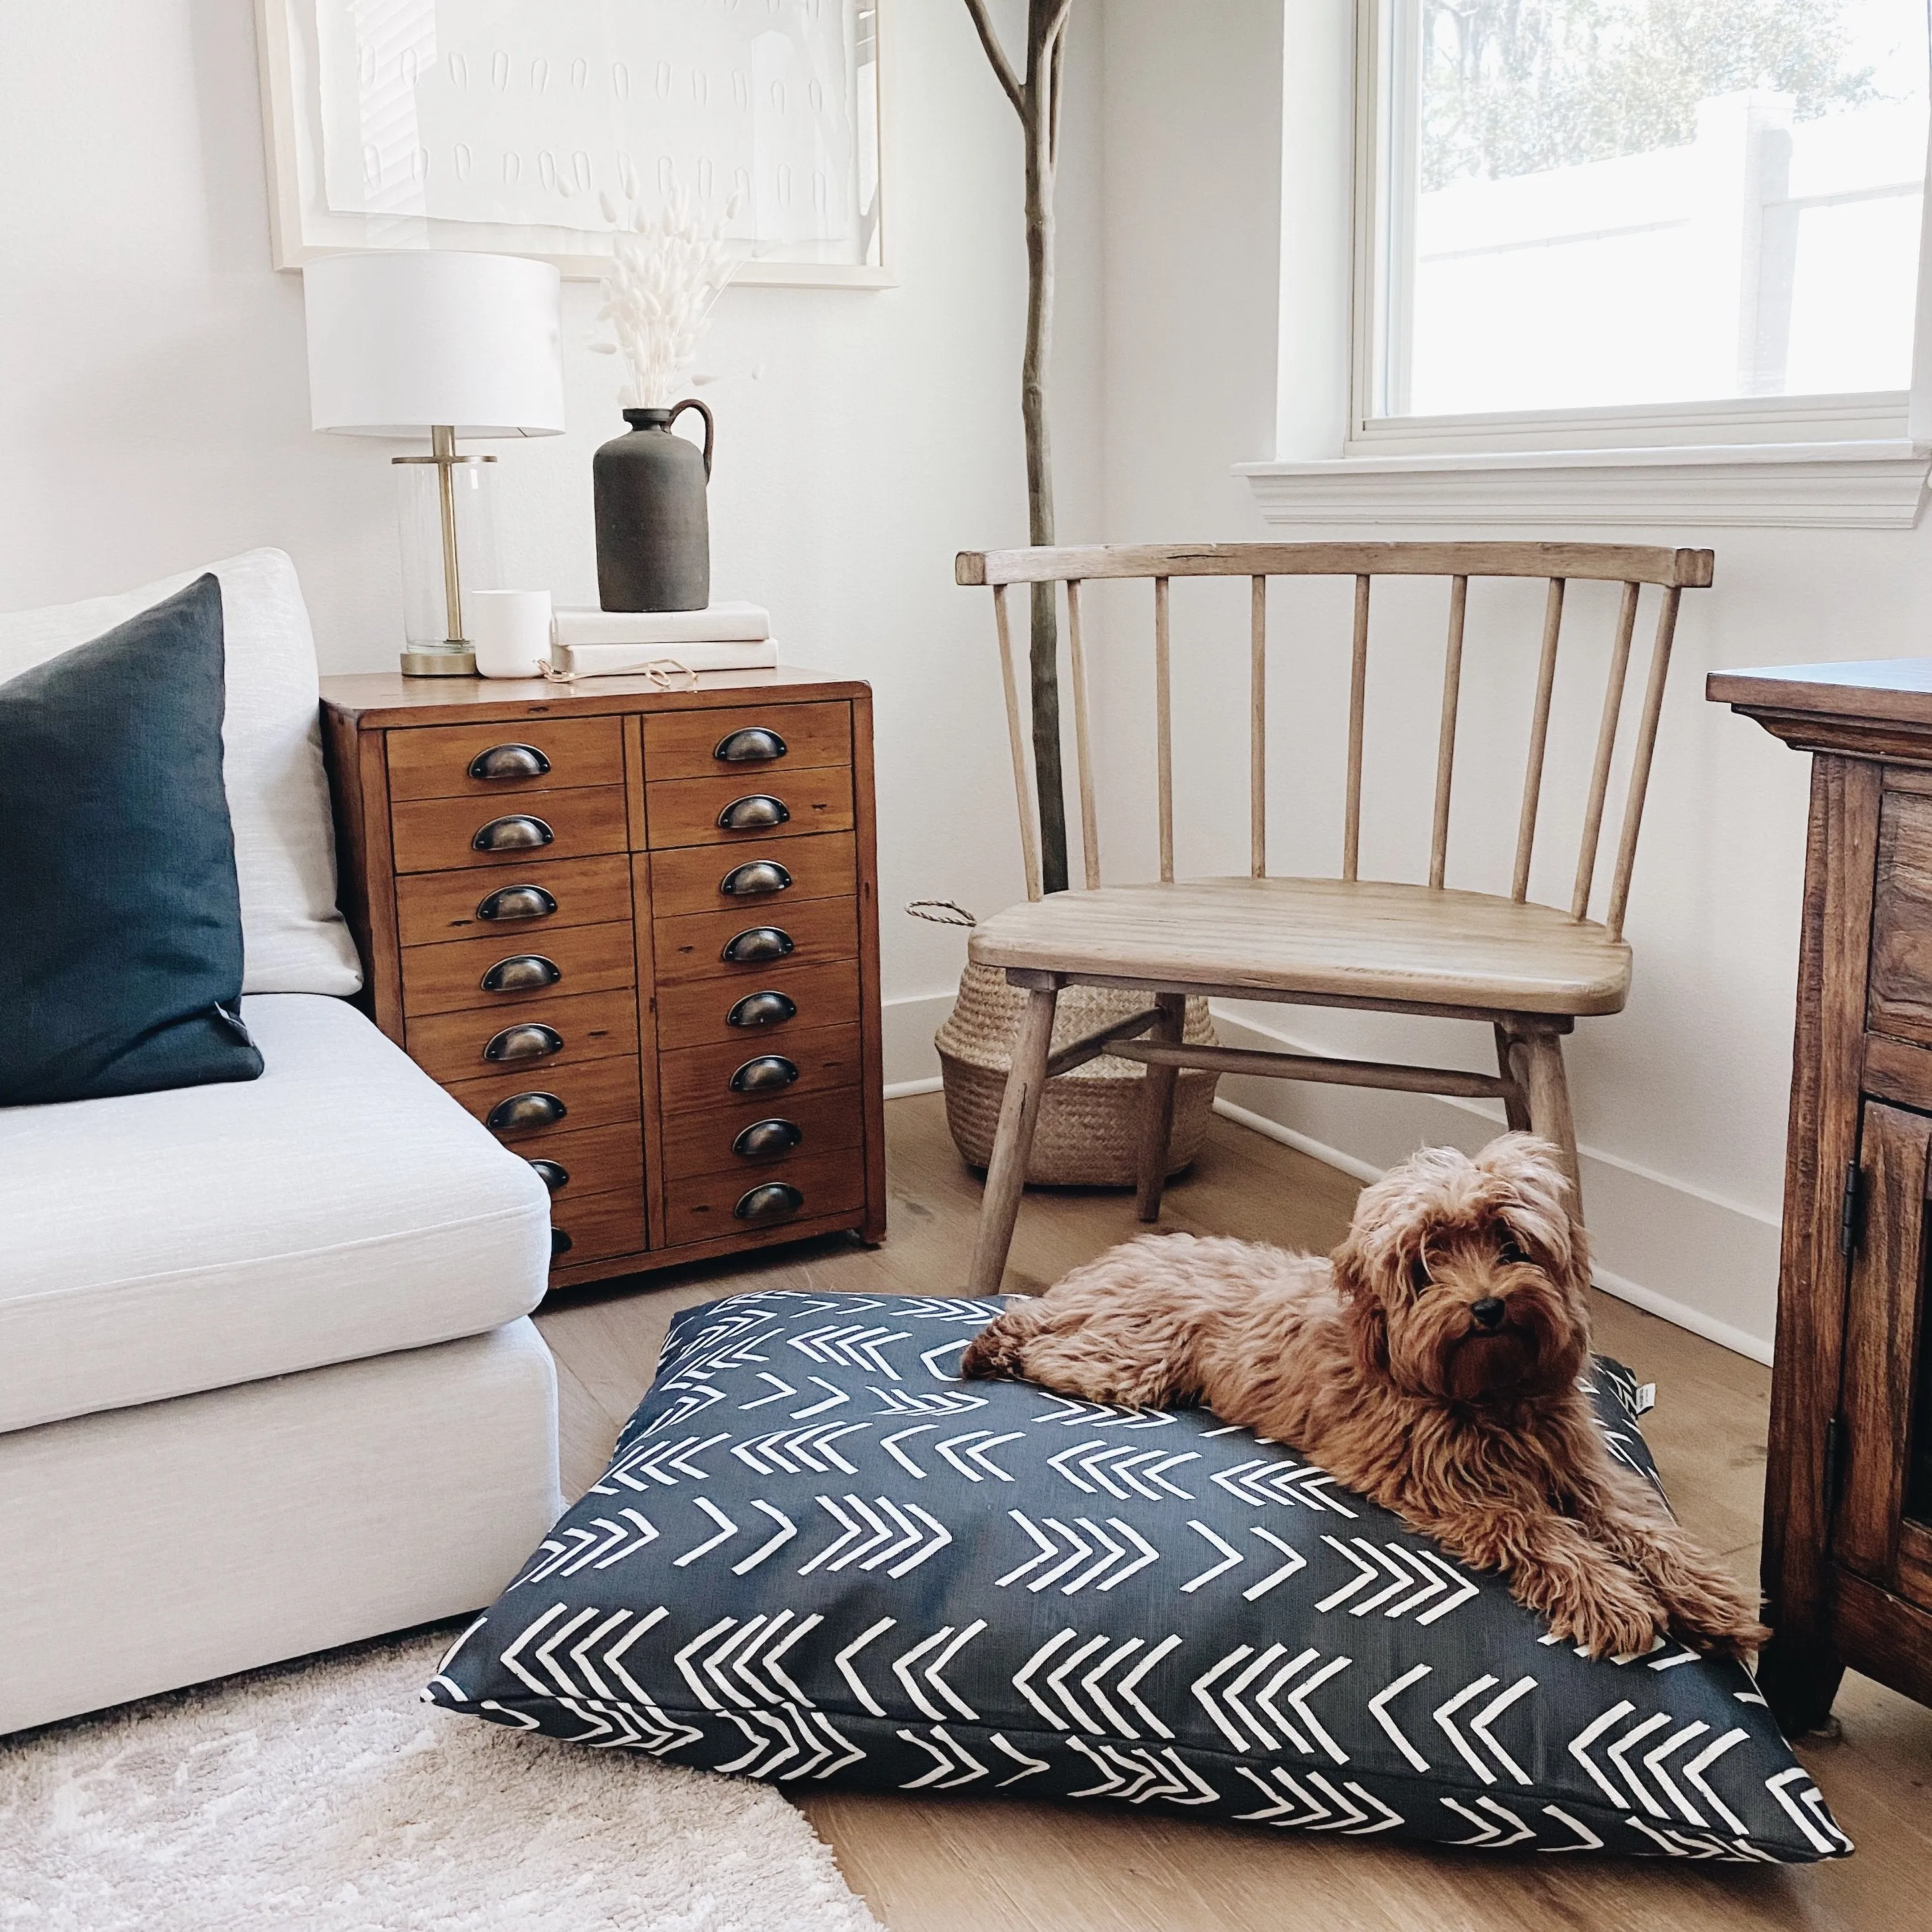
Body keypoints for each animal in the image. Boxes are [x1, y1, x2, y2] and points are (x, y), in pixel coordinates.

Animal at [958, 1128, 1769, 1661]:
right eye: (1426, 1263)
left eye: (1510, 1243)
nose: (1487, 1307)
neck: (1491, 1394)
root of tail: (1106, 1266)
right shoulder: (1445, 1481)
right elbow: (1537, 1529)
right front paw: (1610, 1596)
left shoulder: (1578, 1467)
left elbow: (1637, 1522)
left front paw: (1704, 1596)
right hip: (1128, 1357)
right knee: (1040, 1341)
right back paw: (992, 1344)